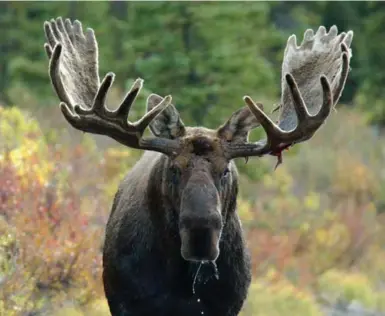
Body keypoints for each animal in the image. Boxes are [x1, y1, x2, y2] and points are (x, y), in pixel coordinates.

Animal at [43, 17, 352, 316]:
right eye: (174, 169)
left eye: (226, 170)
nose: (201, 235)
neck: (183, 283)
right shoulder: (128, 303)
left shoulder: (226, 306)